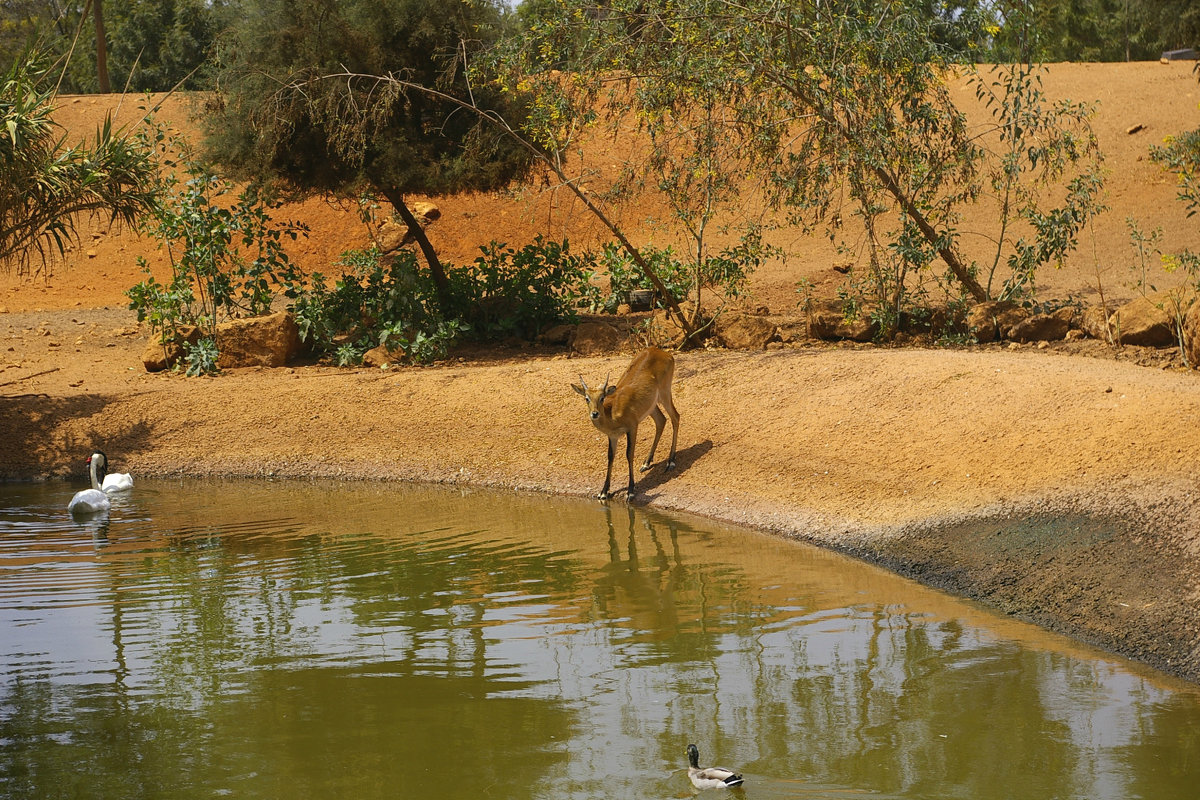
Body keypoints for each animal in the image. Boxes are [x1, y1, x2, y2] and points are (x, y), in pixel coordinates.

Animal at [568, 345, 681, 501]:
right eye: (586, 398)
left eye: (602, 397)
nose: (595, 413)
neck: (612, 413)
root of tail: (663, 352)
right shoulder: (613, 436)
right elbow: (610, 456)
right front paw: (603, 491)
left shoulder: (632, 427)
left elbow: (629, 454)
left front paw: (630, 491)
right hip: (652, 405)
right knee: (661, 420)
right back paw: (646, 463)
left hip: (665, 393)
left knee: (675, 417)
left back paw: (670, 462)